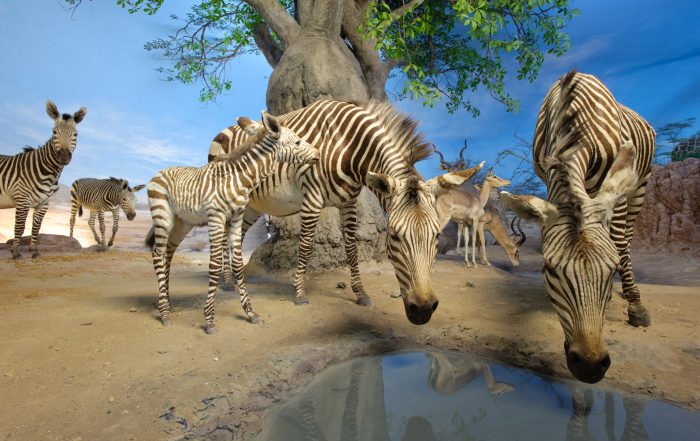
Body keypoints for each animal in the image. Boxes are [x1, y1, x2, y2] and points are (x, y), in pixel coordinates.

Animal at [0, 100, 87, 259]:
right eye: (54, 132)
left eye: (76, 134)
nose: (63, 156)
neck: (49, 174)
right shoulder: (22, 199)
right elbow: (20, 227)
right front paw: (15, 253)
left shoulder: (44, 203)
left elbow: (36, 228)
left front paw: (34, 251)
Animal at [145, 112, 320, 334]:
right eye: (297, 141)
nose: (318, 154)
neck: (239, 180)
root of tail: (160, 171)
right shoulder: (216, 217)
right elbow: (215, 264)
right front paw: (209, 319)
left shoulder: (236, 217)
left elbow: (237, 262)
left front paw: (250, 312)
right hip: (163, 216)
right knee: (157, 255)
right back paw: (165, 313)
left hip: (182, 222)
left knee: (167, 253)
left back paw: (165, 301)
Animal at [208, 100, 482, 325]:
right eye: (394, 236)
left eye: (436, 236)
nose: (423, 310)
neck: (349, 148)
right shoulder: (312, 199)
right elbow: (305, 246)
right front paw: (299, 293)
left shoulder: (349, 203)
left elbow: (351, 248)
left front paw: (361, 294)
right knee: (223, 238)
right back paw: (225, 283)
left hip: (252, 206)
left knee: (235, 237)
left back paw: (229, 281)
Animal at [501, 70, 655, 383]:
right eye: (549, 269)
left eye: (611, 269)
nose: (590, 365)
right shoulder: (548, 174)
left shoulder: (614, 190)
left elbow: (619, 243)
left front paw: (635, 306)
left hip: (640, 184)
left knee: (627, 236)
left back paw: (633, 299)